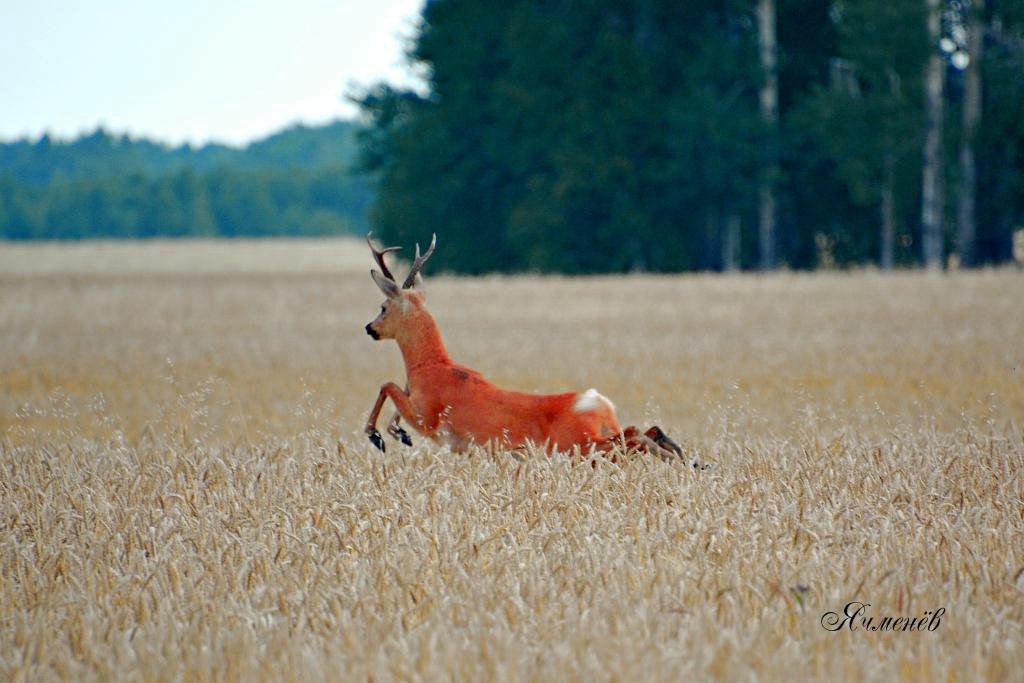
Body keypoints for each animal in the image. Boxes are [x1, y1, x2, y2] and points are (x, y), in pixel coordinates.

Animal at [362, 233, 696, 464]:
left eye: (382, 307)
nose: (369, 328)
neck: (431, 366)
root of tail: (598, 402)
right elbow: (395, 392)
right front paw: (397, 433)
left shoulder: (428, 418)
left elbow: (387, 385)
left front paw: (377, 436)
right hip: (592, 438)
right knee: (643, 431)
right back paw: (688, 461)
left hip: (577, 444)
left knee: (634, 437)